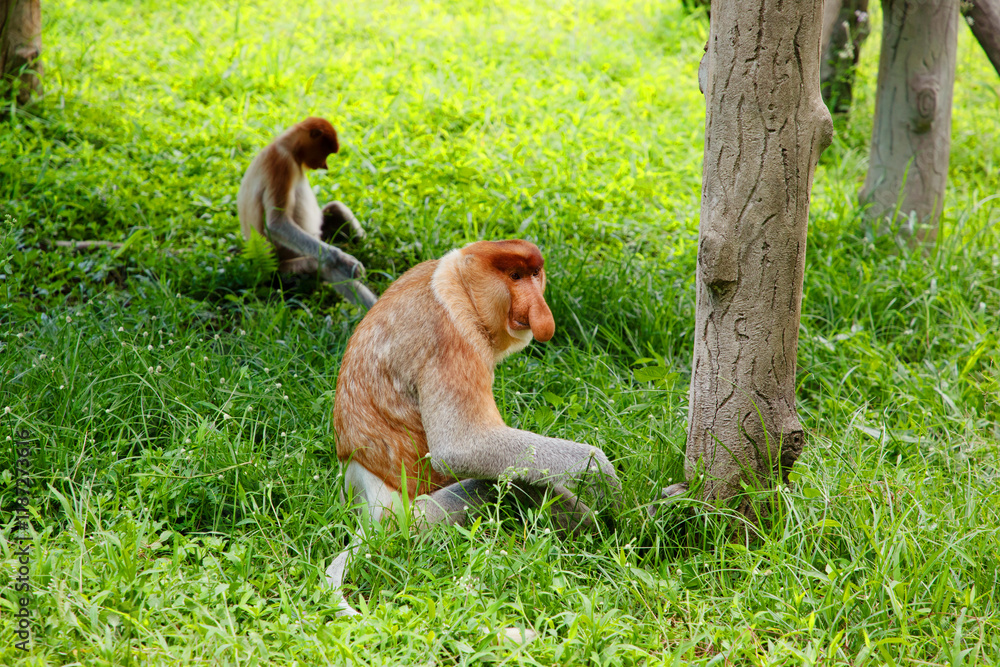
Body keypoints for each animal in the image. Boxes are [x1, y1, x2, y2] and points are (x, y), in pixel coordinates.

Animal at [237, 117, 377, 308]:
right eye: (326, 153)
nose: (325, 166)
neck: (287, 147)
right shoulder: (281, 162)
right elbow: (277, 223)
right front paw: (346, 261)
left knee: (335, 207)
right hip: (281, 272)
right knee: (323, 265)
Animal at [326, 239, 620, 616]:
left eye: (534, 274)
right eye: (514, 276)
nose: (540, 312)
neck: (457, 281)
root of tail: (369, 507)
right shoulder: (452, 334)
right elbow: (461, 447)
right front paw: (600, 475)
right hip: (415, 520)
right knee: (509, 482)